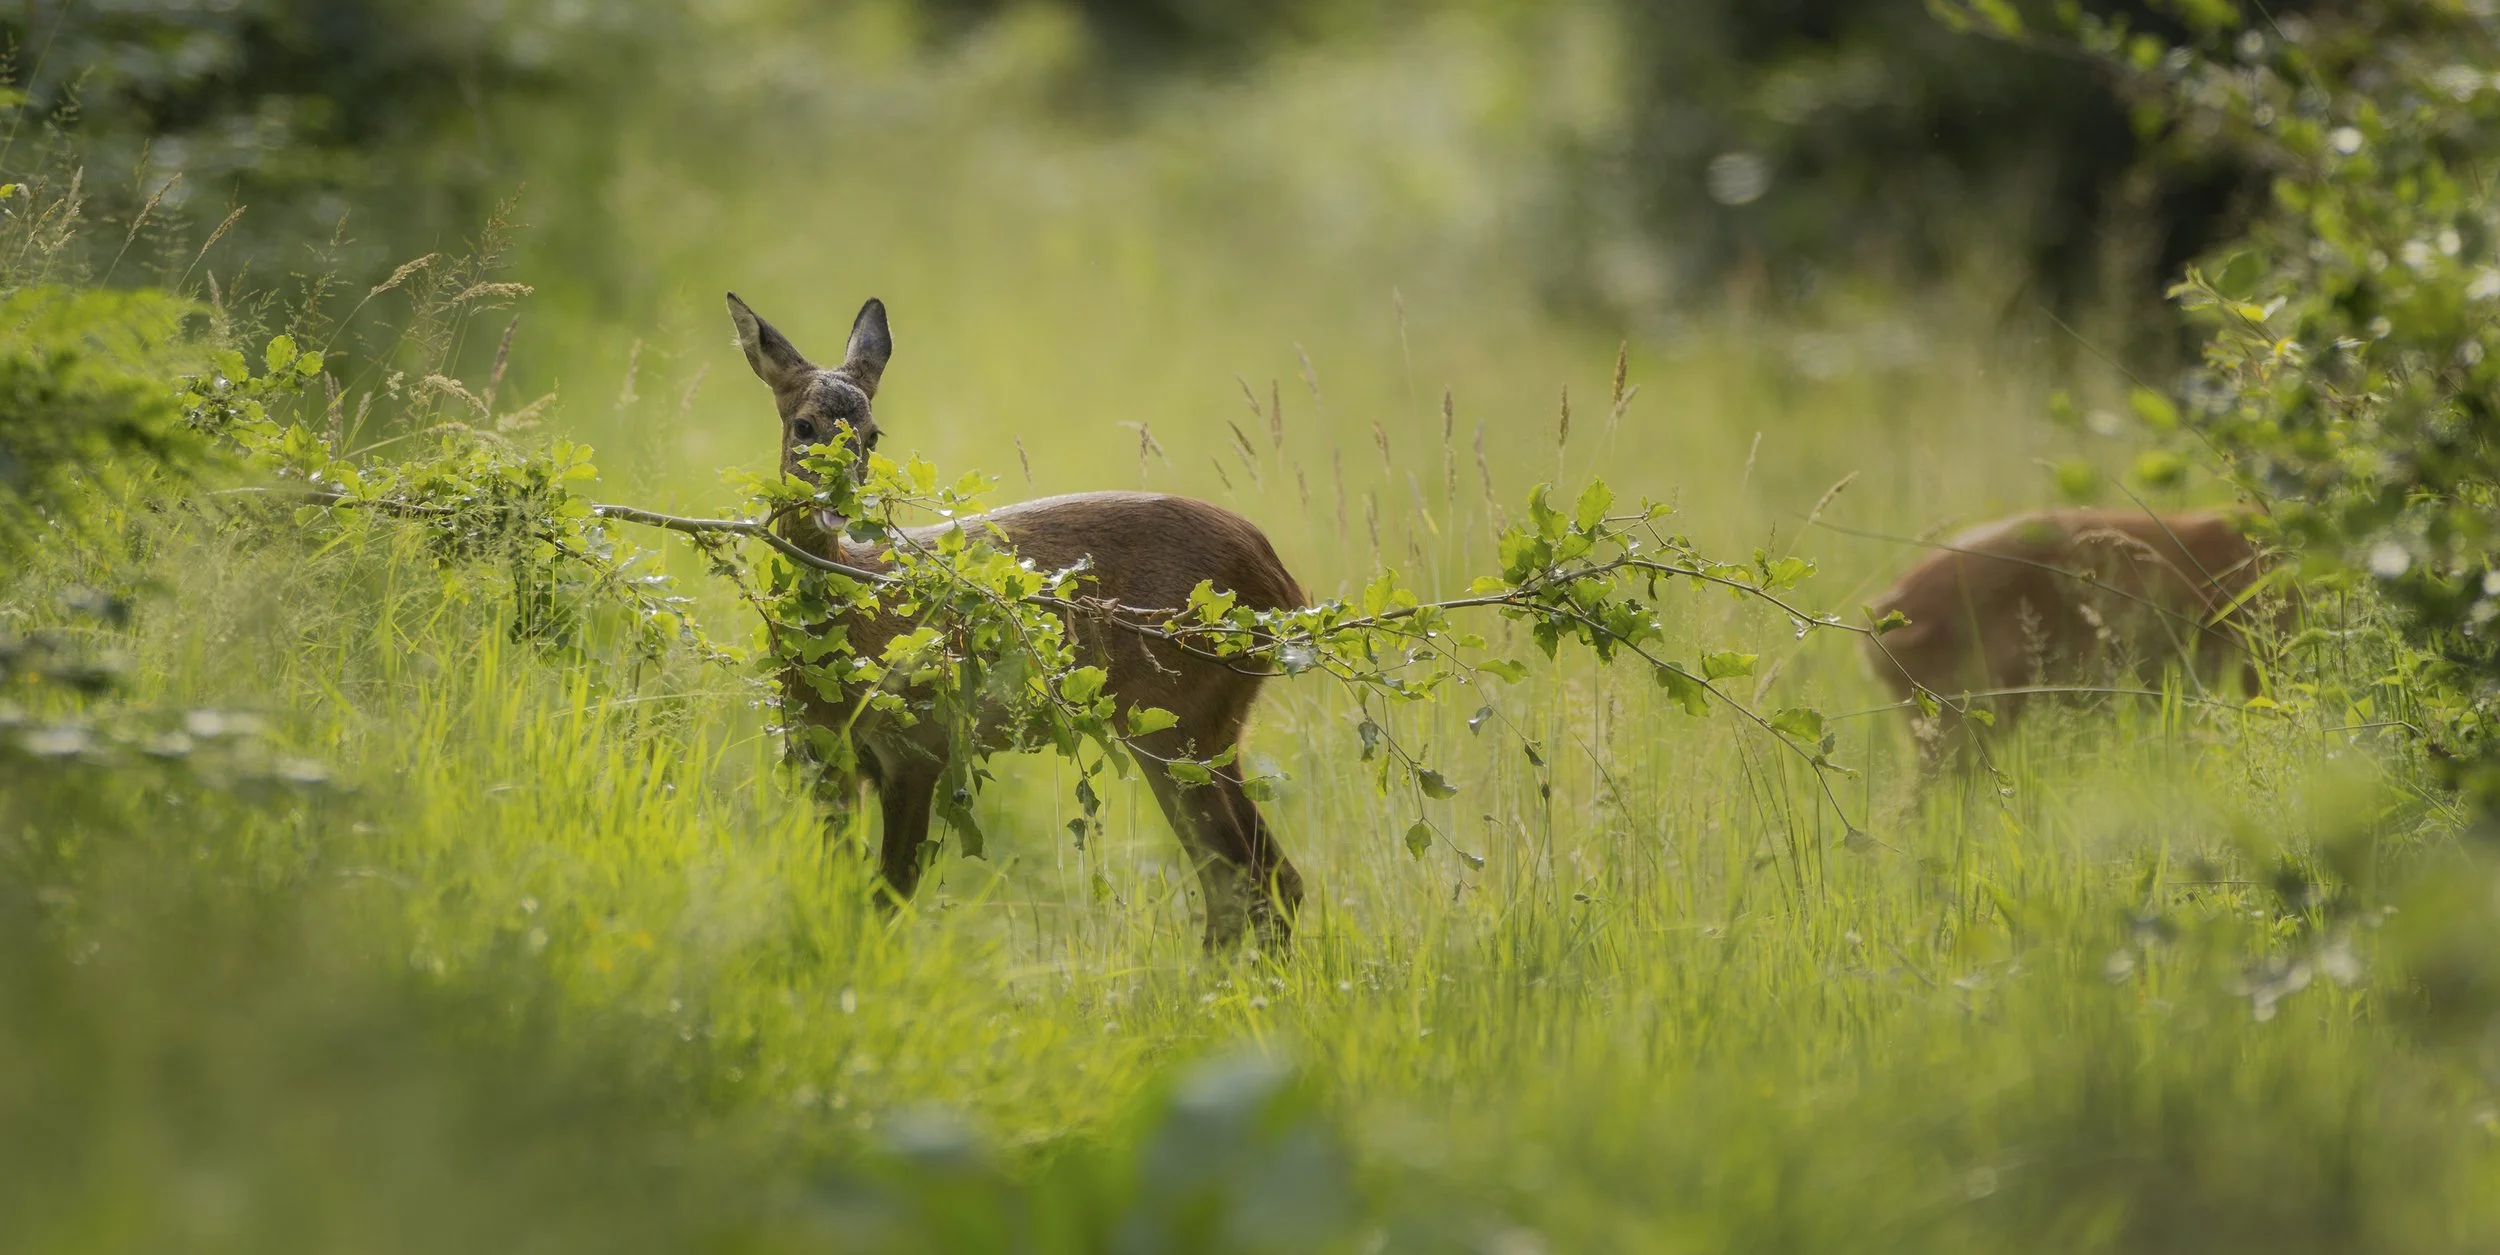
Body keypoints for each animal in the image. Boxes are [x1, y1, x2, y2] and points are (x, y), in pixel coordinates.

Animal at [724, 292, 1306, 949]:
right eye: (804, 426)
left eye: (872, 435)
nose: (840, 508)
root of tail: (1283, 585)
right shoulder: (823, 758)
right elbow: (840, 890)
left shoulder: (920, 745)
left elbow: (887, 896)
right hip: (1207, 730)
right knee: (1262, 879)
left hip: (1176, 718)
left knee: (1246, 879)